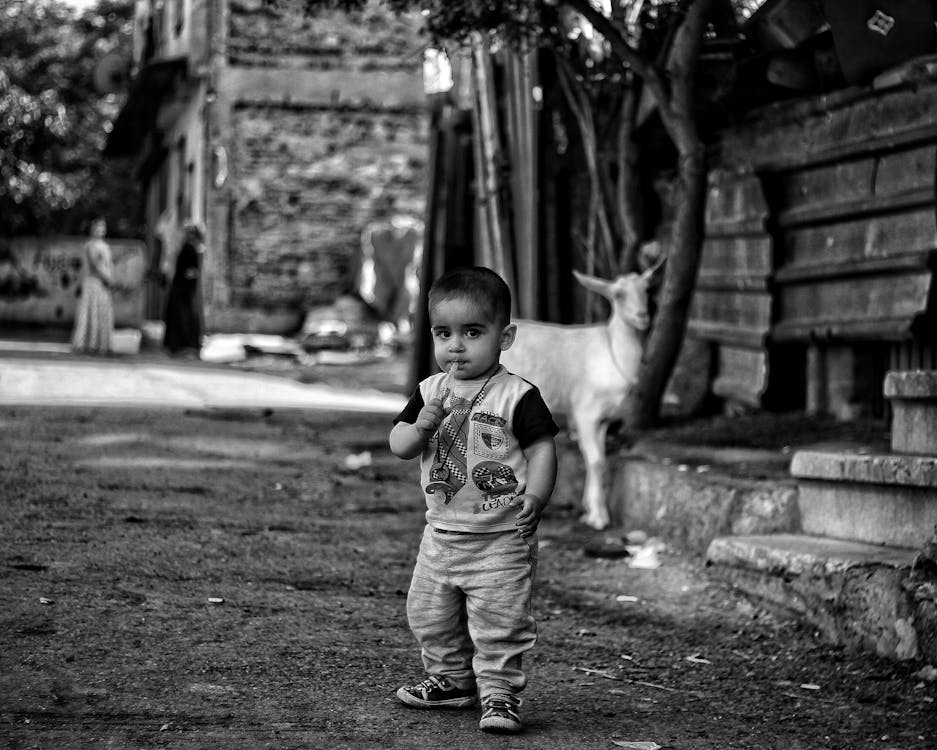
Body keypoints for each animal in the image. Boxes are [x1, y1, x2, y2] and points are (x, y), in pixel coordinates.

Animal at [498, 268, 660, 528]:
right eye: (618, 294)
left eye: (647, 289)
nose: (642, 316)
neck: (612, 351)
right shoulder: (586, 411)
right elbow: (595, 460)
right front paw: (599, 518)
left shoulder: (603, 417)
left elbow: (599, 459)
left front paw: (589, 508)